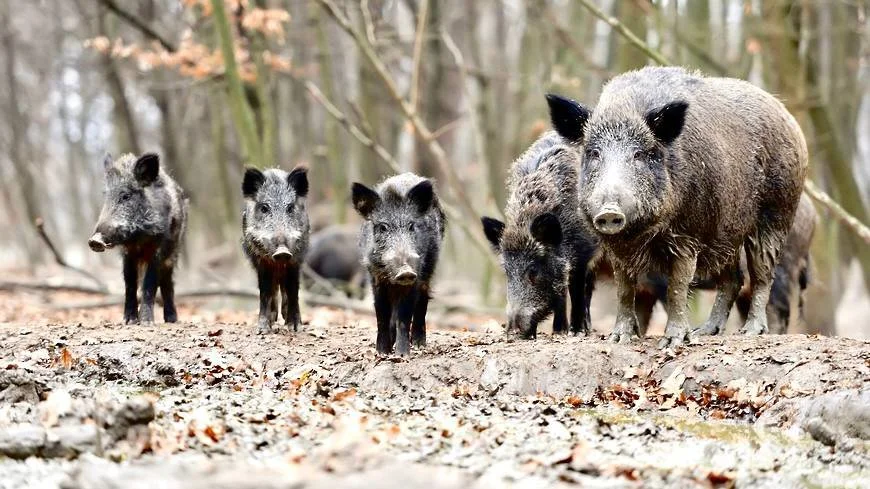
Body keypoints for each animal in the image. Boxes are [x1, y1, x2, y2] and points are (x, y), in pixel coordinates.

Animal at [88, 153, 188, 326]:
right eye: (106, 196)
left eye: (126, 196)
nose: (95, 240)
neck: (139, 238)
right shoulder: (128, 253)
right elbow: (130, 283)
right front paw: (128, 321)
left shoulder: (158, 248)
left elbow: (149, 283)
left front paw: (147, 323)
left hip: (173, 253)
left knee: (167, 282)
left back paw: (171, 319)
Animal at [242, 166, 310, 334]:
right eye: (264, 208)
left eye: (290, 208)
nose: (282, 251)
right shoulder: (261, 262)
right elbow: (265, 291)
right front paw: (262, 329)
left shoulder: (295, 260)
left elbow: (293, 289)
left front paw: (295, 327)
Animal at [351, 173, 445, 356]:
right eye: (382, 227)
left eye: (411, 226)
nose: (405, 271)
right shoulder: (375, 277)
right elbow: (381, 313)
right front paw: (382, 352)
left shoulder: (415, 277)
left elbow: (404, 315)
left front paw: (402, 355)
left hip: (430, 266)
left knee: (423, 300)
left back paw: (419, 344)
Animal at [480, 130, 597, 338]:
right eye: (507, 272)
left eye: (533, 271)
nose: (512, 329)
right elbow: (561, 293)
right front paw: (556, 332)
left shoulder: (583, 253)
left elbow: (575, 290)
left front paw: (574, 332)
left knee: (586, 289)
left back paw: (584, 328)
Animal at [548, 66, 808, 347]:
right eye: (594, 153)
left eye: (639, 154)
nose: (609, 211)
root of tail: (789, 118)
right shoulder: (617, 248)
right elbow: (625, 289)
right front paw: (618, 339)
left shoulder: (688, 236)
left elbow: (678, 286)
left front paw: (673, 341)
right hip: (725, 232)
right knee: (733, 279)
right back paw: (706, 331)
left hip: (776, 214)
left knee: (762, 274)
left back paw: (751, 331)